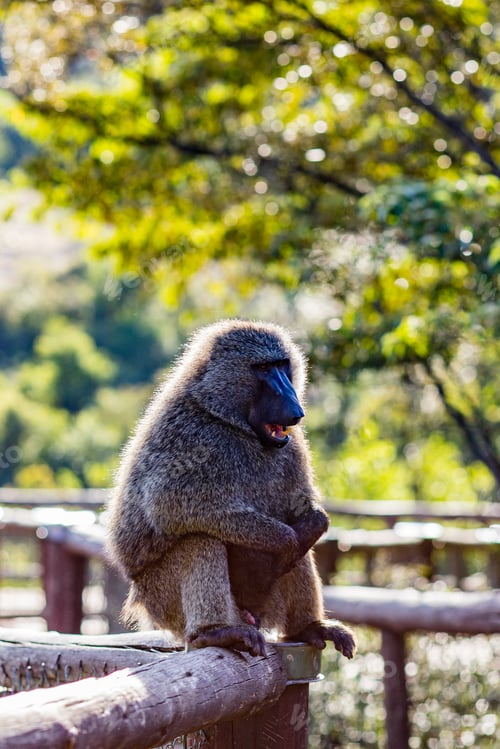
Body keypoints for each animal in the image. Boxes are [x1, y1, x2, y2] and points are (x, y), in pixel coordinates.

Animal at [106, 319, 355, 659]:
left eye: (282, 365)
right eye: (262, 368)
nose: (295, 409)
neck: (228, 420)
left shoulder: (293, 446)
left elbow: (306, 510)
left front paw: (311, 526)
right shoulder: (192, 436)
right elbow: (166, 504)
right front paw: (284, 541)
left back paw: (308, 627)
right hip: (162, 600)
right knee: (199, 540)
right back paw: (213, 633)